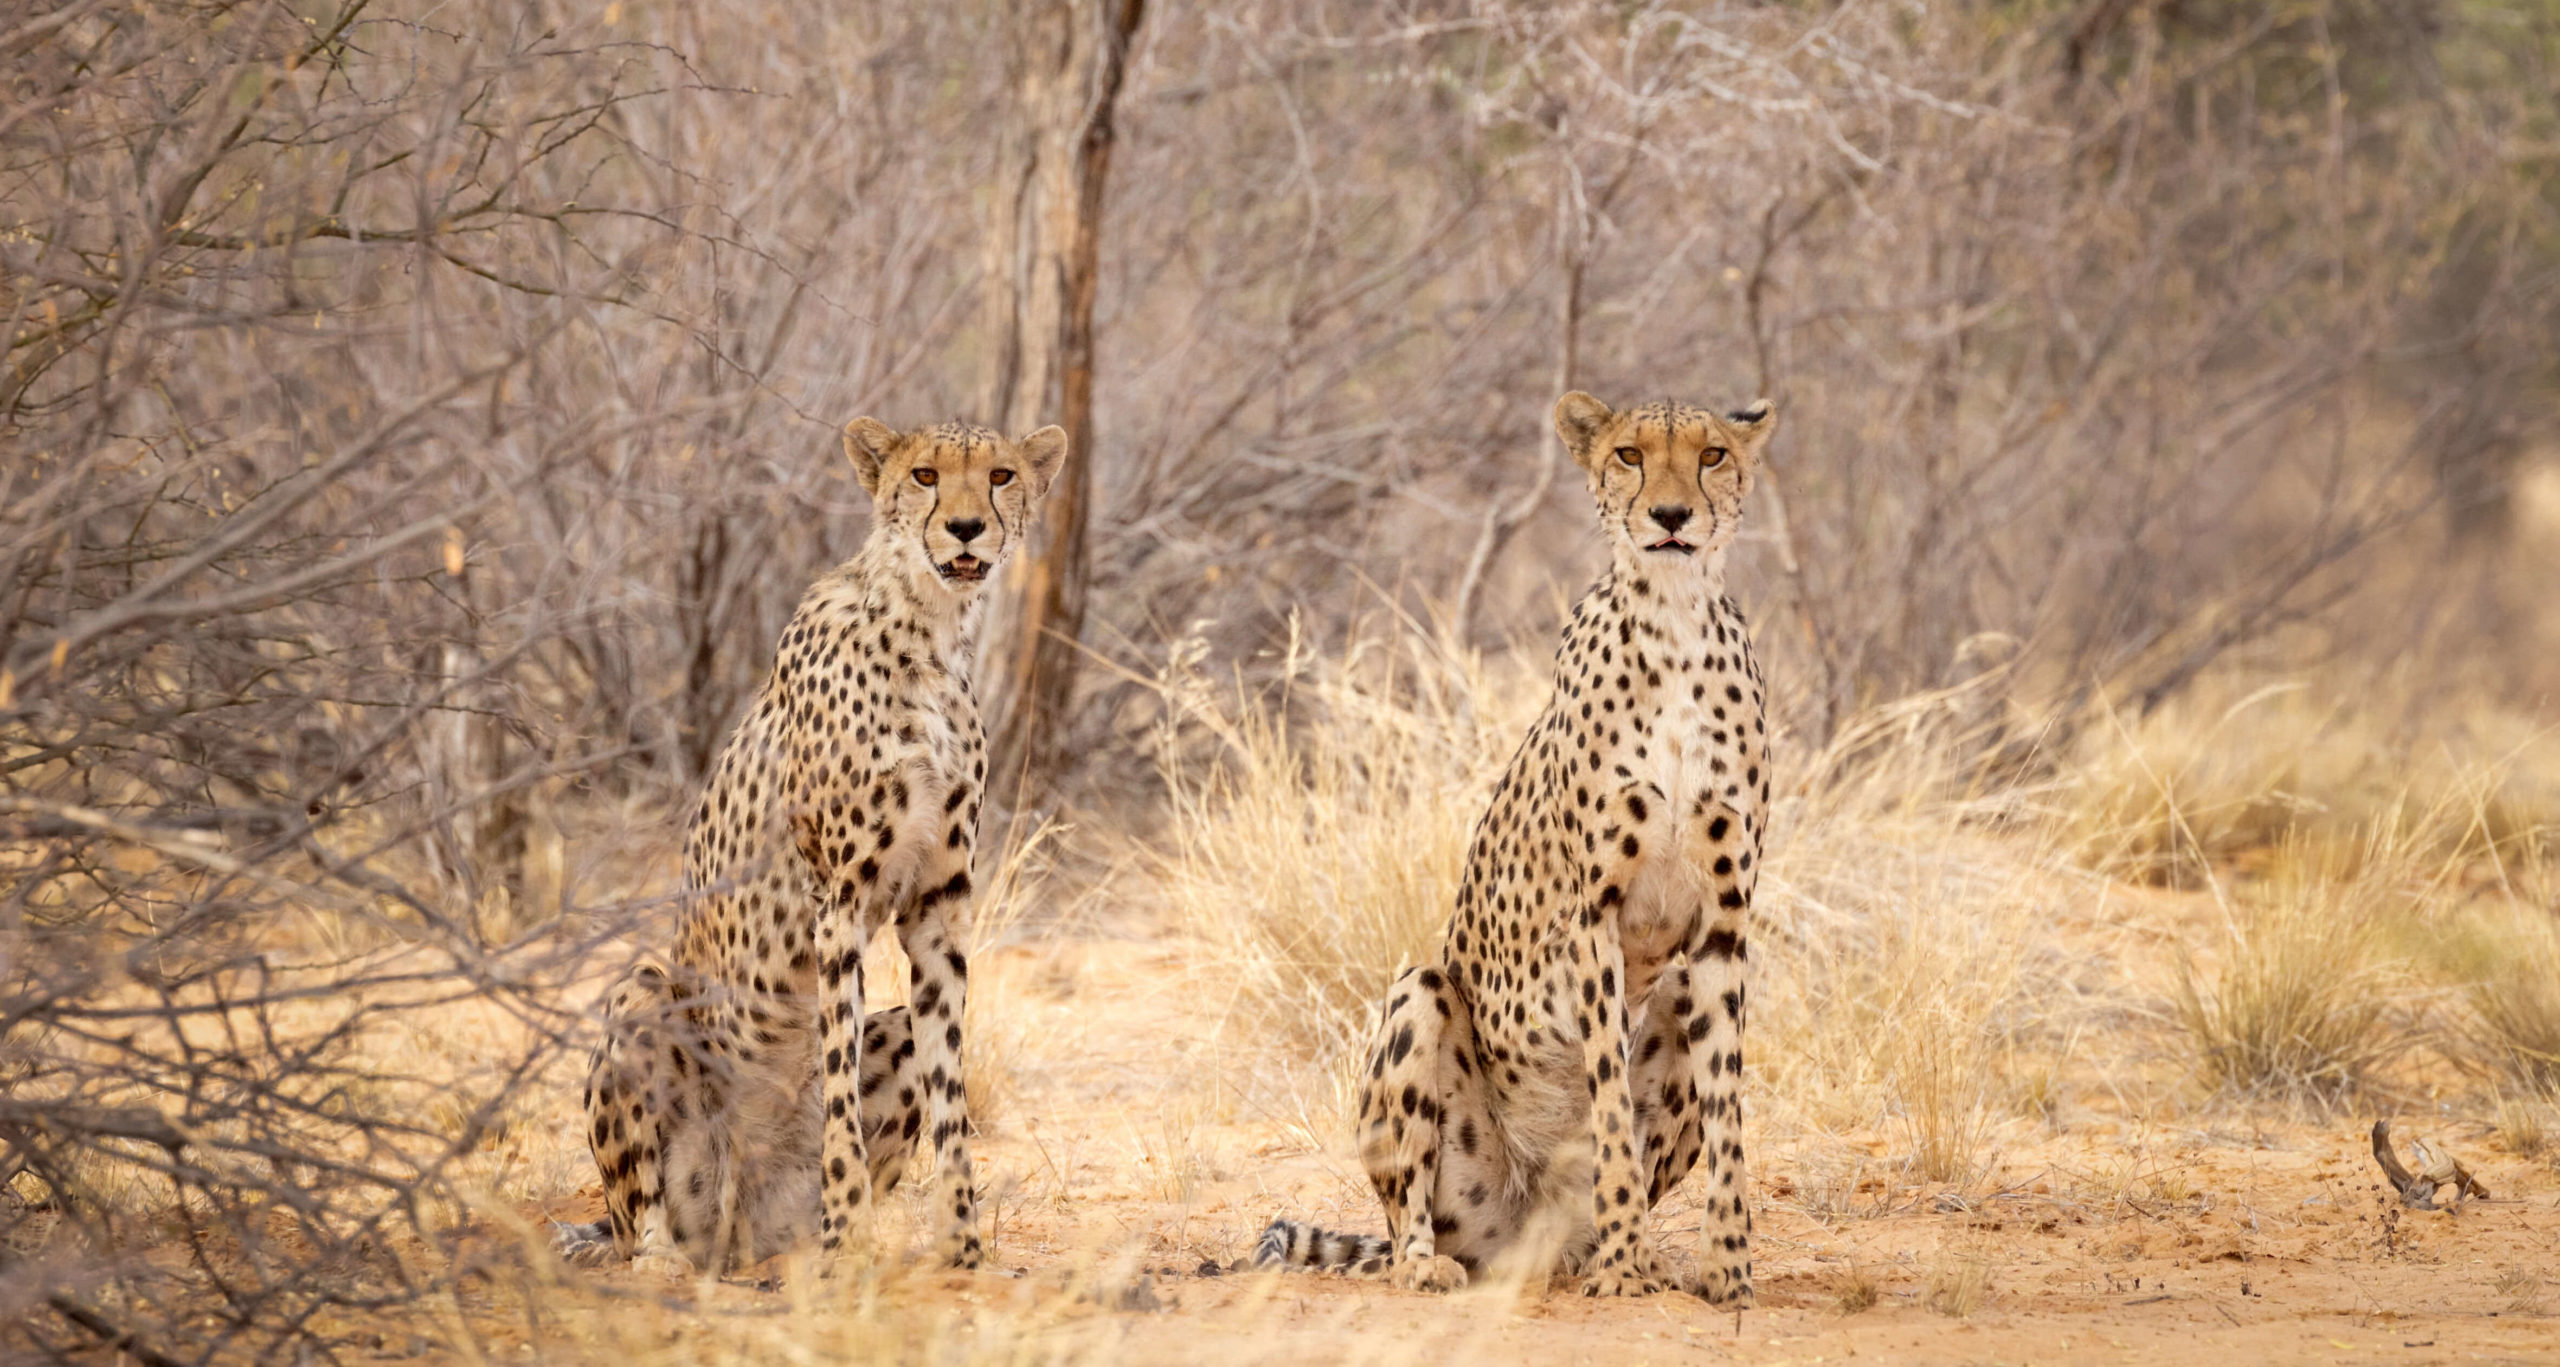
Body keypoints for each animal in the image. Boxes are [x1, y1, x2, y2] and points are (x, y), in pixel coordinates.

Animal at [560, 417, 1070, 1285]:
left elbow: (951, 1094)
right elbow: (836, 1090)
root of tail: (732, 1226)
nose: (968, 527)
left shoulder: (937, 911)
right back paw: (670, 1260)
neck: (931, 628)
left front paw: (964, 1246)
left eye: (1001, 475)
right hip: (645, 994)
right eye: (925, 475)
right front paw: (849, 1240)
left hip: (872, 1053)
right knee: (640, 1221)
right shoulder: (840, 901)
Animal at [1259, 389, 1781, 1305]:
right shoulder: (1592, 917)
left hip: (1678, 986)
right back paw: (1441, 1262)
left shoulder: (1722, 924)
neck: (1676, 617)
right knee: (1411, 1215)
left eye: (1712, 454)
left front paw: (1727, 1268)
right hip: (1422, 1000)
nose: (1671, 515)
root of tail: (1524, 1239)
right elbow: (1608, 1103)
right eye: (1630, 455)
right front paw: (1625, 1264)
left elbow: (1728, 1107)